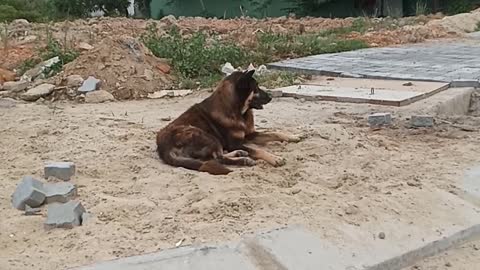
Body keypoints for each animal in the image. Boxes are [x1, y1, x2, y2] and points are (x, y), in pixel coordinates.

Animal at [158, 69, 300, 175]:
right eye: (256, 88)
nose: (270, 97)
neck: (236, 110)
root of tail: (163, 148)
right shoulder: (235, 143)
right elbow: (257, 150)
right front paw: (275, 158)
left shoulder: (249, 135)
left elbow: (274, 133)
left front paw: (293, 136)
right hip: (205, 135)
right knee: (218, 158)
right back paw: (244, 160)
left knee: (217, 156)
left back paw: (240, 154)